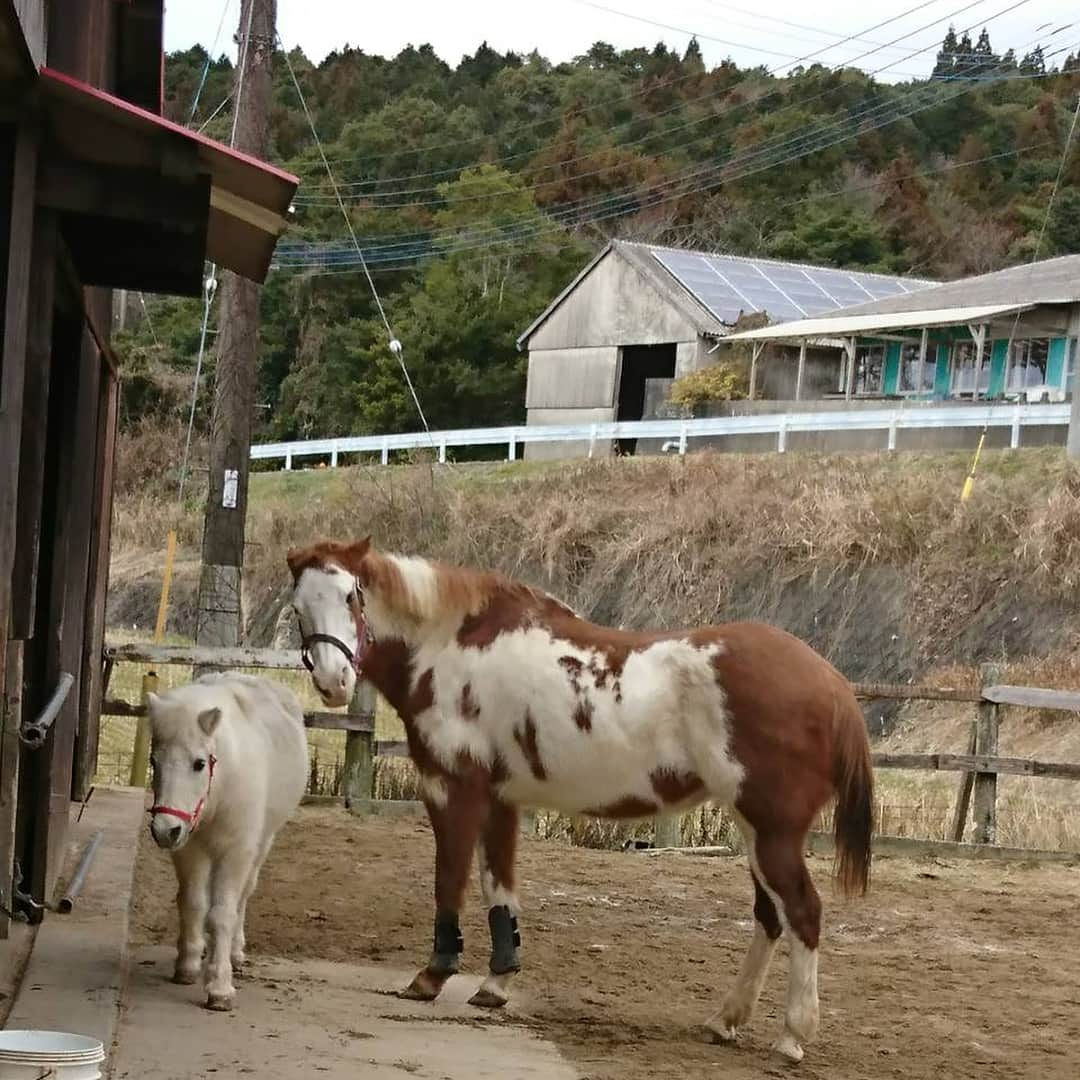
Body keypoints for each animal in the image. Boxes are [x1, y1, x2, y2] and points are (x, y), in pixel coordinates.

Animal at [147, 673, 308, 1010]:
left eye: (199, 763)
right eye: (154, 761)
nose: (165, 829)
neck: (220, 787)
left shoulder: (235, 852)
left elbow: (222, 914)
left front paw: (219, 986)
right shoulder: (189, 850)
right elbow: (194, 904)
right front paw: (188, 964)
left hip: (261, 844)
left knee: (243, 896)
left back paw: (233, 952)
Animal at [285, 540, 868, 1062]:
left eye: (352, 594)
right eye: (297, 606)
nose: (334, 682)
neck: (451, 647)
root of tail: (833, 682)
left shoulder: (451, 788)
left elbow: (449, 879)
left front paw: (433, 975)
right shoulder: (501, 799)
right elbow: (499, 888)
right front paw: (495, 983)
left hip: (771, 831)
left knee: (803, 913)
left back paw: (792, 1036)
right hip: (753, 829)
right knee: (770, 916)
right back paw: (725, 1019)